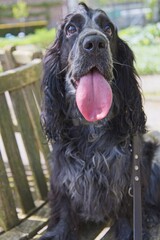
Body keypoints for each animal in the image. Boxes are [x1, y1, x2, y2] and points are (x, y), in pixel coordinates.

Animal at [40, 2, 160, 240]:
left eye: (108, 29)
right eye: (71, 29)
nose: (95, 43)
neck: (91, 127)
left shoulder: (126, 179)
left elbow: (126, 211)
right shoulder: (62, 176)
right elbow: (64, 210)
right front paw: (58, 231)